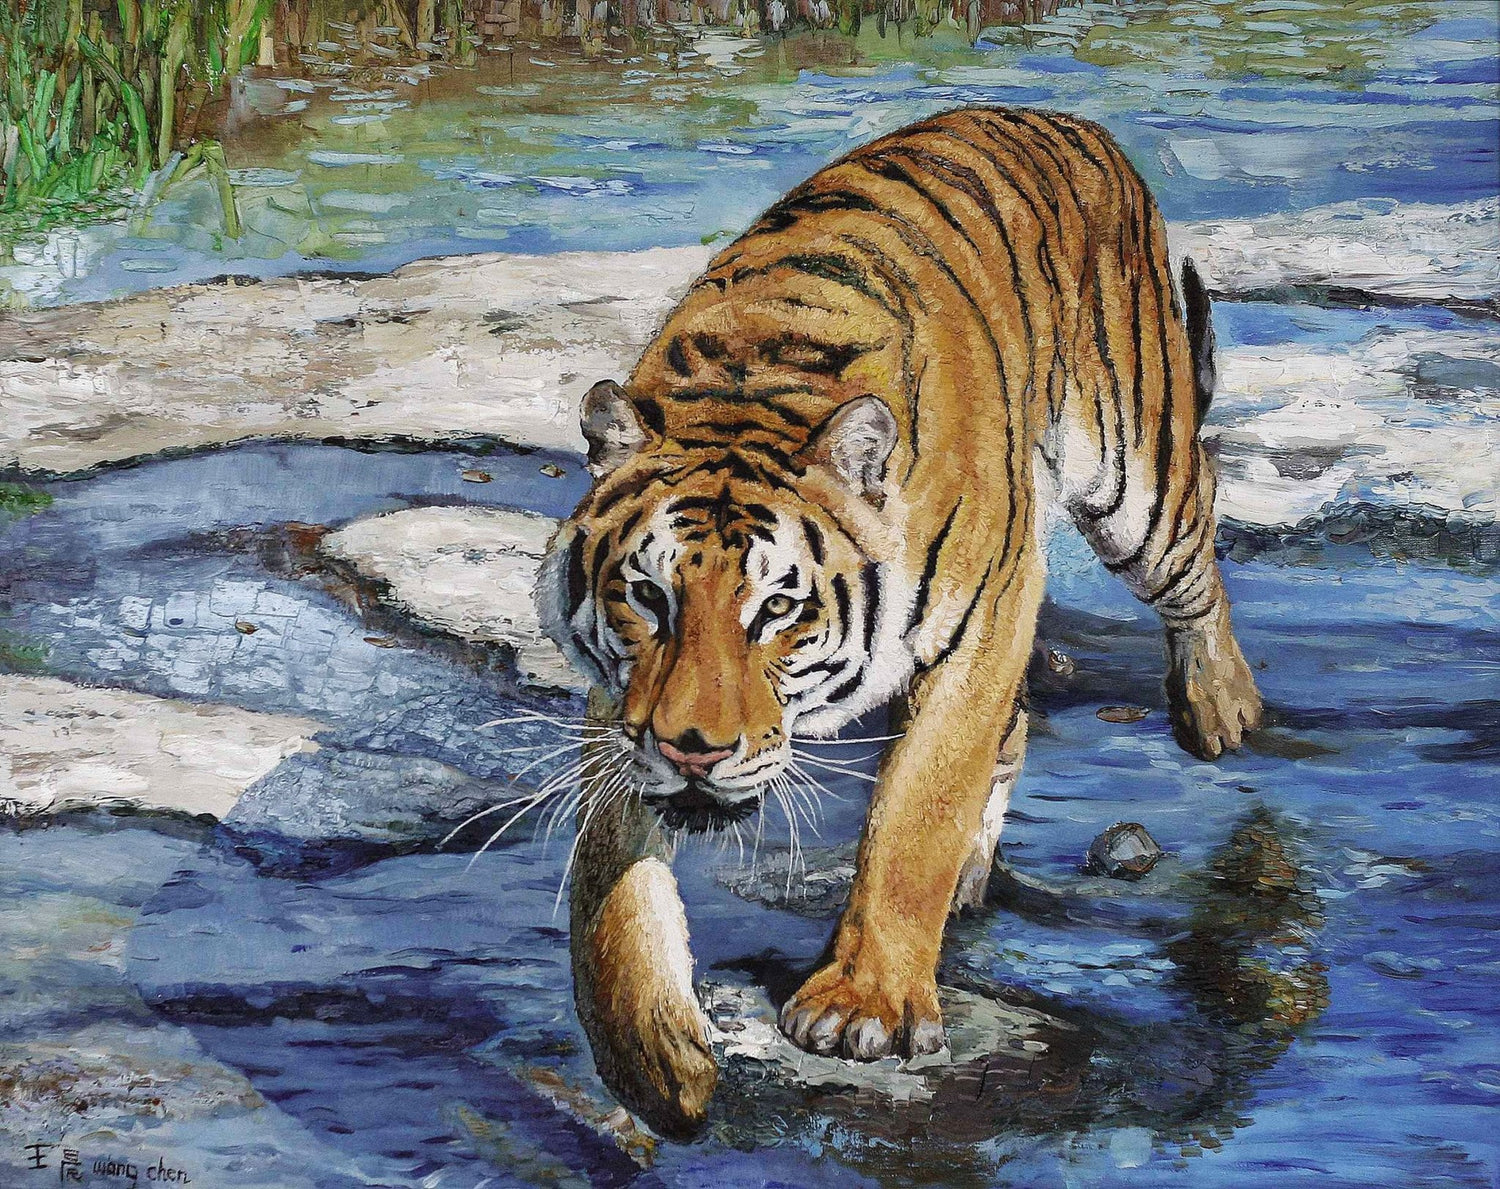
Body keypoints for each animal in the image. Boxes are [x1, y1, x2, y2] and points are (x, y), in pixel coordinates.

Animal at [536, 104, 1263, 1136]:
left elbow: (918, 811)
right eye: (647, 597)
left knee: (1198, 541)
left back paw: (1220, 706)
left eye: (778, 607)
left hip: (1136, 476)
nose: (692, 750)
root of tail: (1066, 119)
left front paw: (861, 1007)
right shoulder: (625, 704)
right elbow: (609, 872)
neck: (751, 392)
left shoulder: (983, 619)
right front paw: (651, 1053)